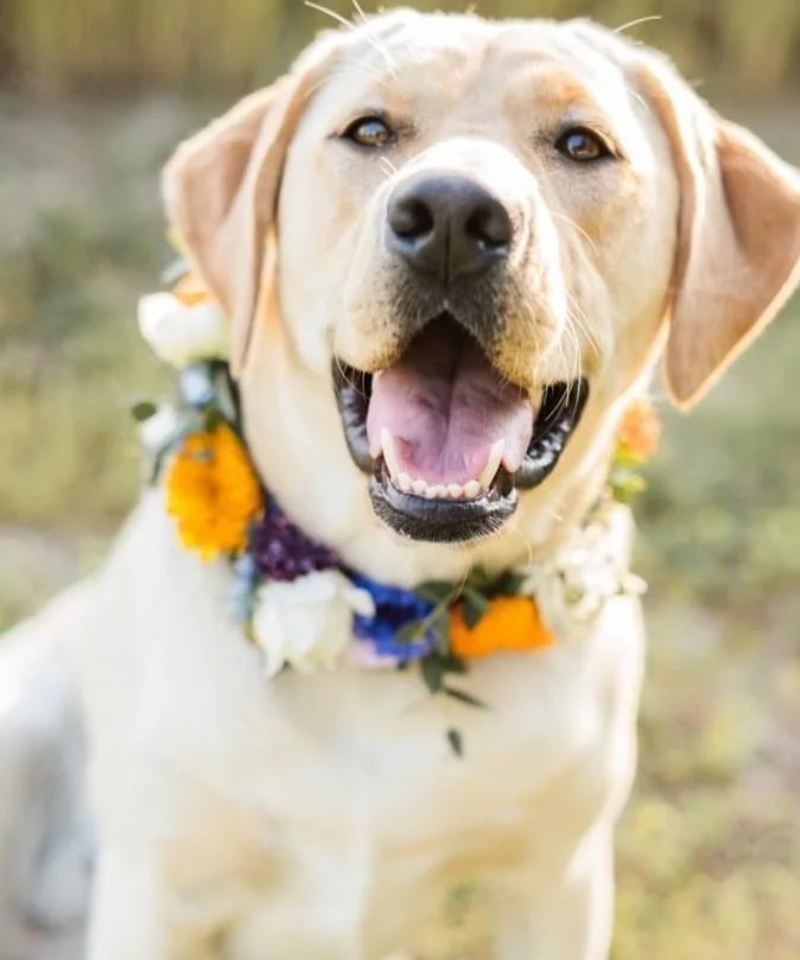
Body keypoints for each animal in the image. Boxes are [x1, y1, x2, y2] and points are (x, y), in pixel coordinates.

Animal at [1, 9, 800, 960]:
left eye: (582, 143)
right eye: (371, 131)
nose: (453, 215)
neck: (389, 614)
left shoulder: (556, 884)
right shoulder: (158, 895)